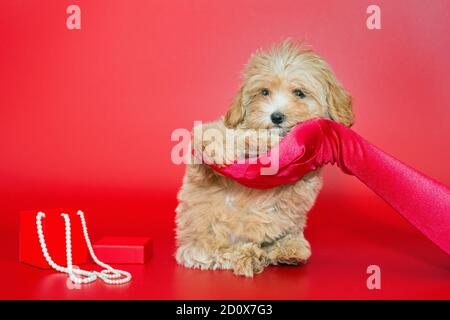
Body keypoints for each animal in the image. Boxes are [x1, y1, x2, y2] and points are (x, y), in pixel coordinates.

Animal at [174, 39, 354, 276]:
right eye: (264, 92)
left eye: (299, 93)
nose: (276, 116)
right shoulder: (202, 169)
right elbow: (213, 133)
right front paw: (241, 143)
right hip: (200, 240)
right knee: (213, 254)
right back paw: (247, 255)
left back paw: (287, 249)